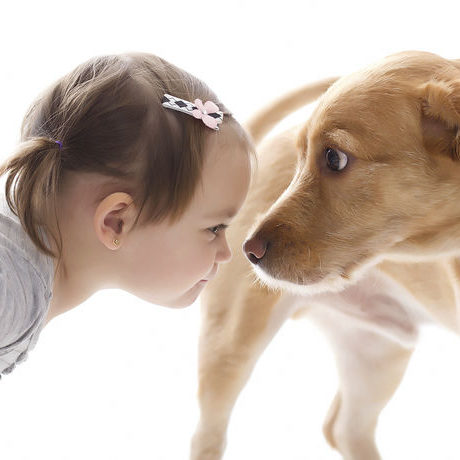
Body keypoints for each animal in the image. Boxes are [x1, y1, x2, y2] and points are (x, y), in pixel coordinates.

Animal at [189, 52, 460, 460]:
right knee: (208, 435)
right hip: (232, 343)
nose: (249, 251)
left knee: (345, 429)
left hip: (376, 349)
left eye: (334, 158)